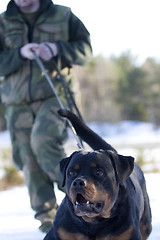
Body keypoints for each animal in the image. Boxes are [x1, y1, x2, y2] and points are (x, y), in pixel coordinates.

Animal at [44, 109, 152, 239]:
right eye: (71, 172)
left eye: (99, 172)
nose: (78, 182)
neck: (93, 224)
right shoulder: (60, 230)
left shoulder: (130, 232)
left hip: (146, 224)